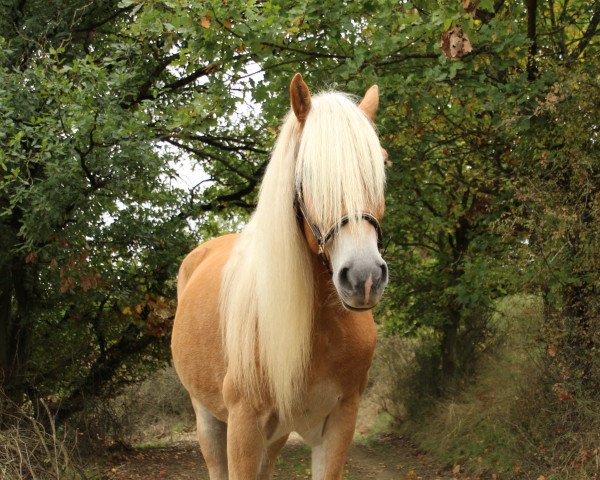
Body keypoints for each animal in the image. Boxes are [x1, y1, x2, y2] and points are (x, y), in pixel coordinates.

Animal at [172, 72, 390, 480]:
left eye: (381, 164)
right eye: (306, 171)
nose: (365, 278)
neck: (320, 327)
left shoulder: (340, 422)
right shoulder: (244, 425)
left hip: (274, 437)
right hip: (208, 419)